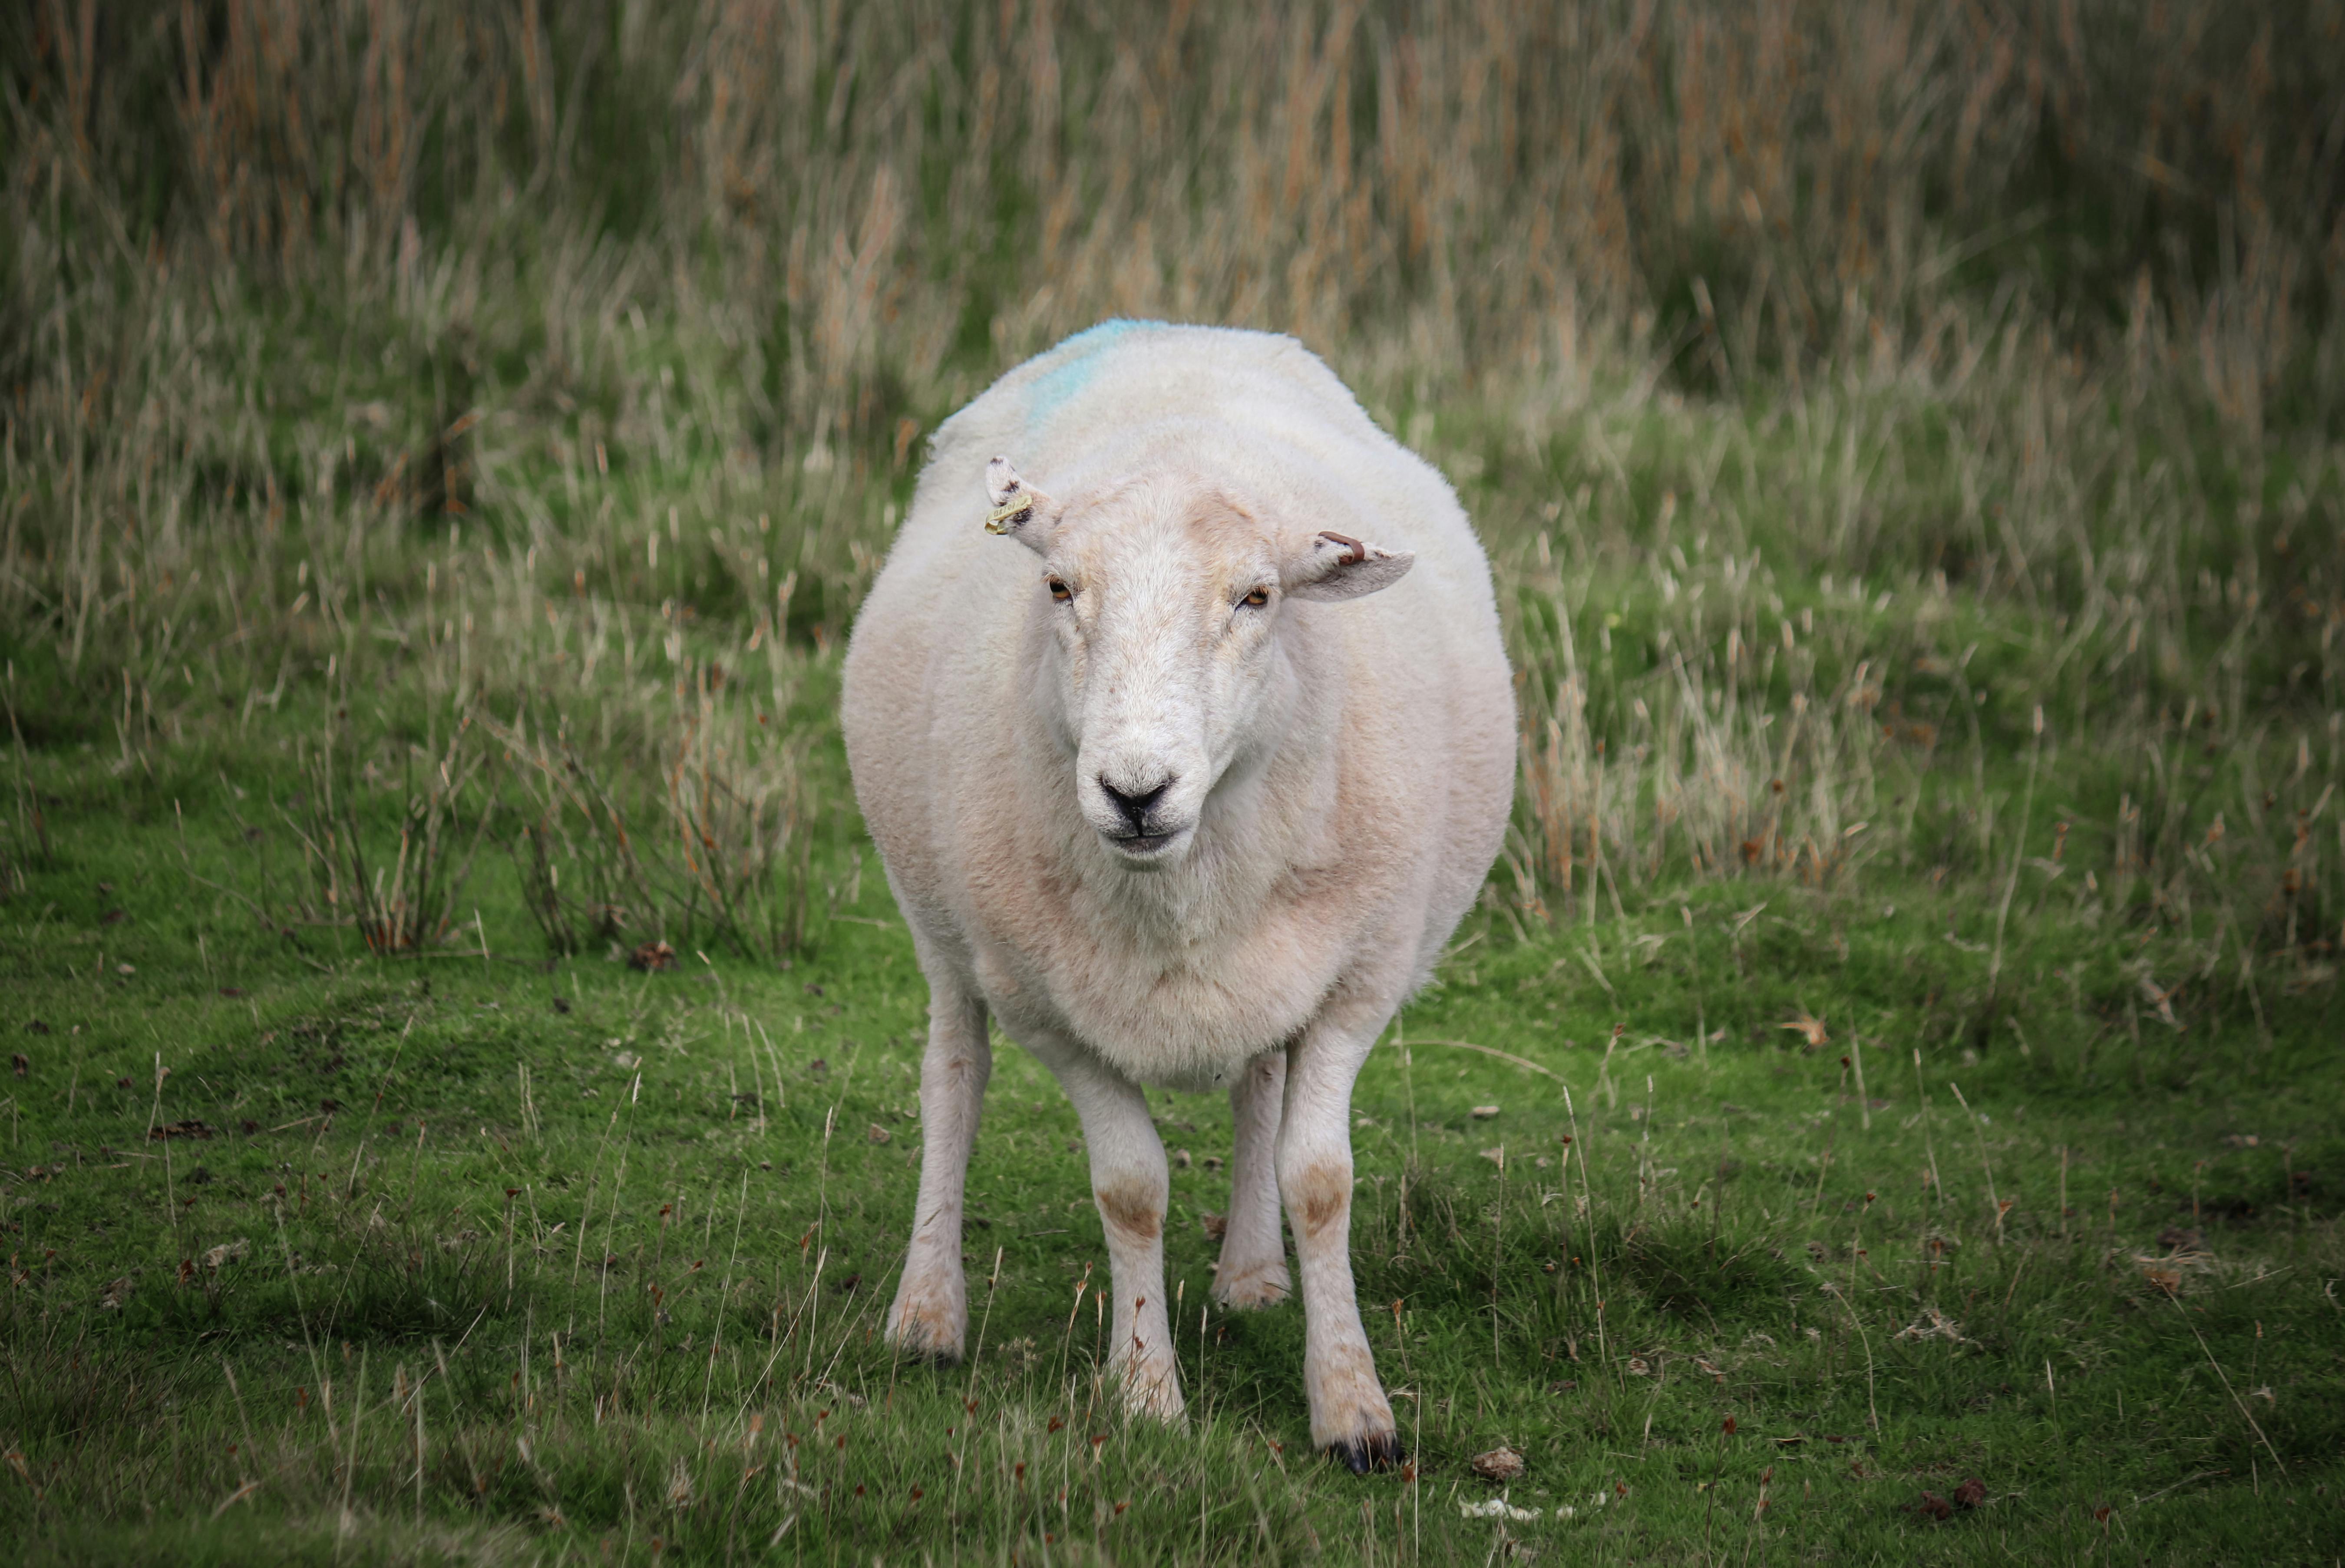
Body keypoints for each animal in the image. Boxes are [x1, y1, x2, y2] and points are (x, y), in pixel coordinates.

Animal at [841, 321, 1514, 1469]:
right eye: (1059, 588)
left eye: (1257, 597)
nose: (1134, 790)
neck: (1177, 884)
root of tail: (1176, 329)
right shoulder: (1048, 1006)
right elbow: (1132, 1188)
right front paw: (1147, 1391)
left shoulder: (1357, 979)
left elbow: (1319, 1176)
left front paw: (1353, 1408)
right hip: (943, 920)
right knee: (953, 1079)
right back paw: (927, 1311)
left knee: (1257, 1089)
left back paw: (1252, 1273)